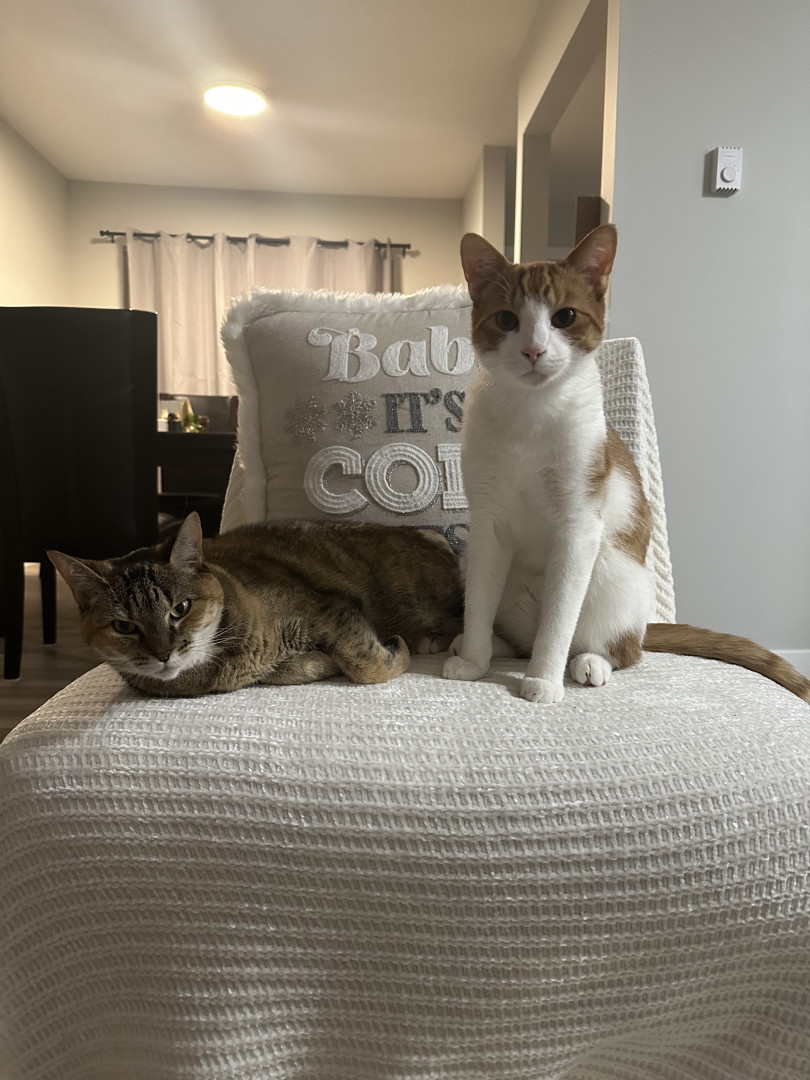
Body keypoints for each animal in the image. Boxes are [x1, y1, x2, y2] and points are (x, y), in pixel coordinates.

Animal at [49, 513, 463, 698]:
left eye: (180, 608)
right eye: (124, 626)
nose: (163, 654)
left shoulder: (331, 609)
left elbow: (367, 666)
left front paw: (397, 651)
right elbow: (302, 668)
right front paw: (320, 662)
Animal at [443, 225, 810, 706]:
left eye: (565, 317)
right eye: (506, 320)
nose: (534, 350)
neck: (531, 415)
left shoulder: (579, 522)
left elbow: (559, 621)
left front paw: (543, 680)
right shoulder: (487, 522)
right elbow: (480, 602)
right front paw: (474, 659)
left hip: (614, 575)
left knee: (619, 647)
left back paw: (590, 662)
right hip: (479, 565)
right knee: (519, 633)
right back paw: (493, 645)